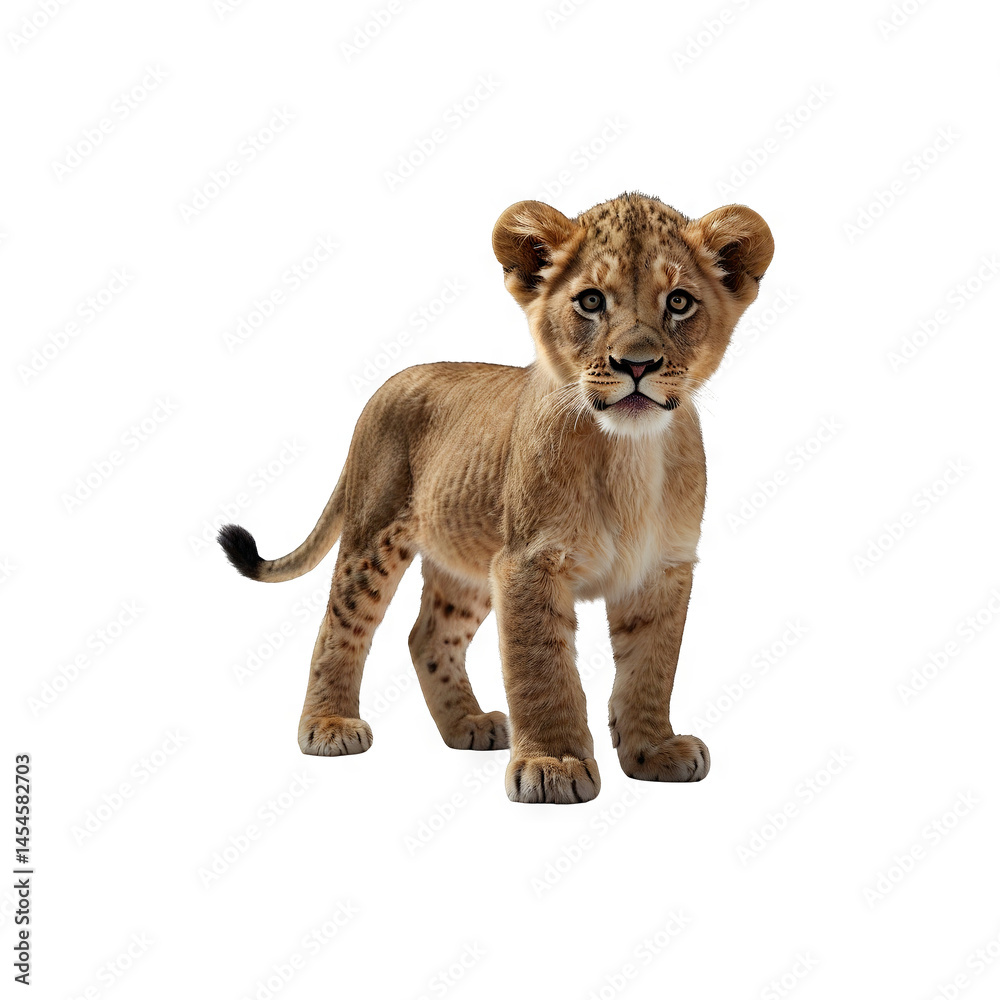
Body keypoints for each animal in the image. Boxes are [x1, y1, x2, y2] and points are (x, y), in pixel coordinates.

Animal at [219, 191, 774, 803]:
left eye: (679, 302)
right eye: (591, 301)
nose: (636, 364)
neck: (629, 452)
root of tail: (388, 384)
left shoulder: (663, 568)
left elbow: (652, 667)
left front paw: (655, 750)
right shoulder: (528, 563)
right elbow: (542, 668)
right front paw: (553, 763)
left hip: (469, 561)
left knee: (428, 636)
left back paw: (469, 724)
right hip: (375, 529)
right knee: (341, 623)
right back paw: (328, 725)